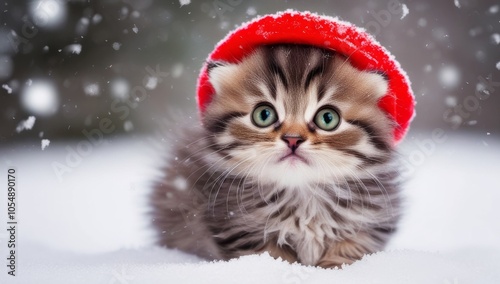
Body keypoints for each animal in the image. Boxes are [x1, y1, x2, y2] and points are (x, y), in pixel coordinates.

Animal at [149, 43, 402, 268]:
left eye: (327, 118)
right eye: (264, 114)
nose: (293, 139)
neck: (304, 196)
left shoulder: (368, 225)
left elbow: (350, 251)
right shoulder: (240, 229)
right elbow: (271, 257)